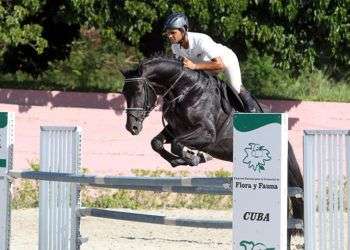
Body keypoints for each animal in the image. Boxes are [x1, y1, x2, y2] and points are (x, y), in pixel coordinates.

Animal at [121, 55, 302, 221]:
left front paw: (195, 158)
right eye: (124, 93)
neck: (185, 91)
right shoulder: (175, 129)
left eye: (138, 91)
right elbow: (157, 143)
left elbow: (177, 145)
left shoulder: (207, 134)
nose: (132, 127)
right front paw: (179, 160)